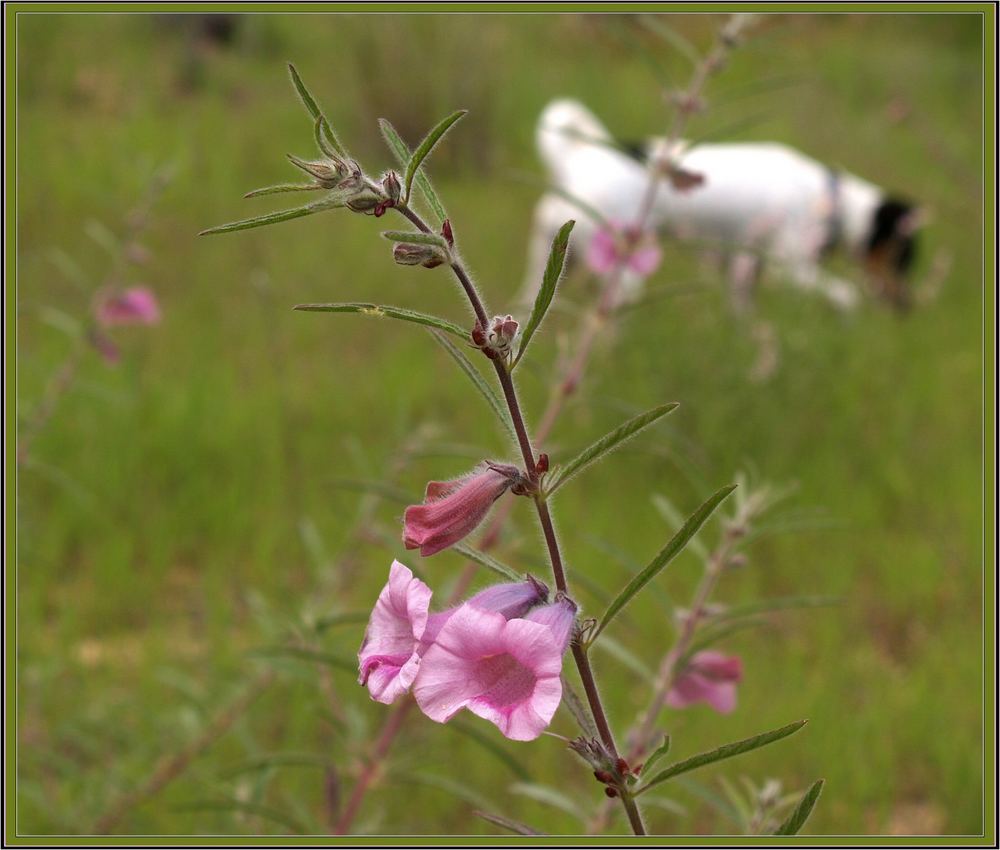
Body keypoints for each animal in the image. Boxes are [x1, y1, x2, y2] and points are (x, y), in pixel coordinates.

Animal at [524, 98, 920, 312]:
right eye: (904, 257)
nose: (906, 306)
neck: (829, 197)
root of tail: (581, 157)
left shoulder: (743, 276)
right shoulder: (792, 270)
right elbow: (847, 297)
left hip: (553, 257)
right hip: (619, 270)